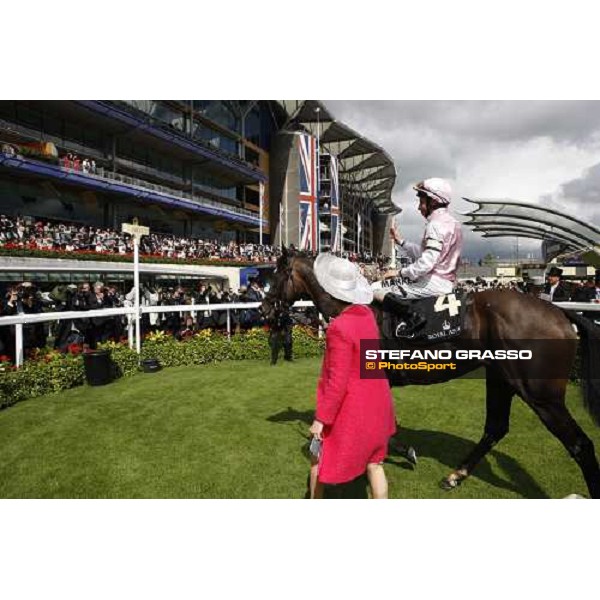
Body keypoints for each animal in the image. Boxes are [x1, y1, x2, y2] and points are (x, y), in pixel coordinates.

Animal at [262, 248, 600, 496]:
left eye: (275, 275)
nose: (265, 309)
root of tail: (559, 312)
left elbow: (387, 428)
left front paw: (405, 451)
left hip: (541, 394)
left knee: (580, 444)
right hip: (500, 379)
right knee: (495, 427)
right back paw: (455, 475)